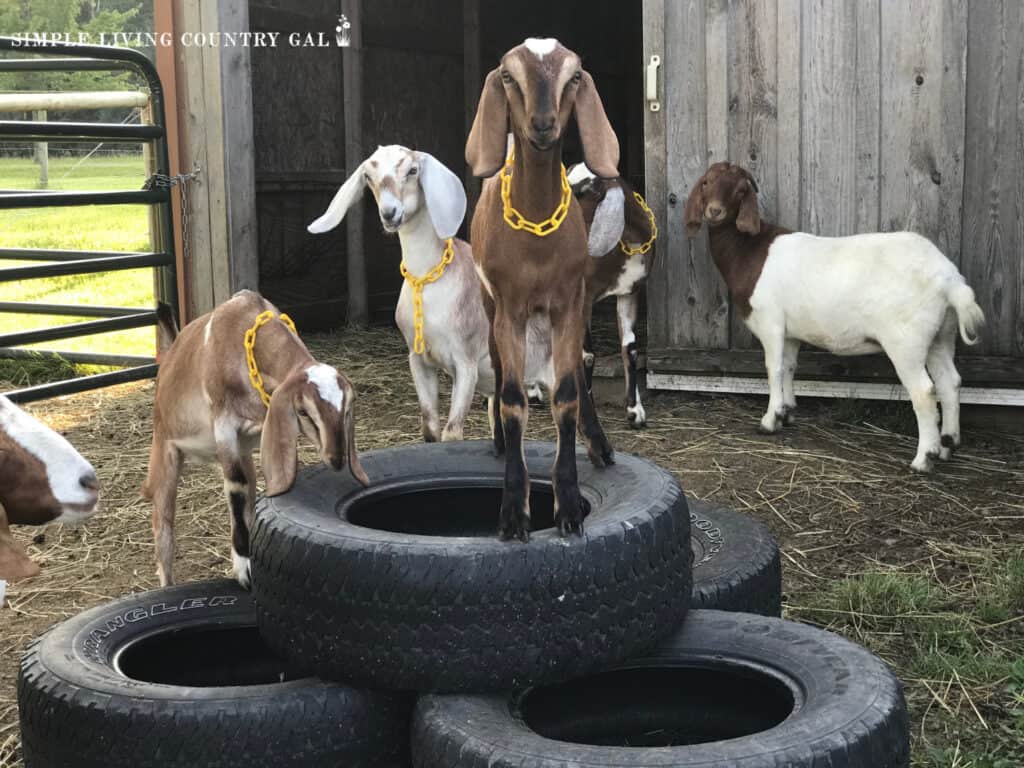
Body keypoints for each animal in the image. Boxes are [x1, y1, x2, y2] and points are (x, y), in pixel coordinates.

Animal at [142, 290, 368, 589]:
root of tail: (169, 357)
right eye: (304, 411)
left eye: (347, 410)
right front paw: (244, 567)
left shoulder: (265, 432)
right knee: (163, 528)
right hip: (165, 454)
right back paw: (168, 583)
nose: (337, 458)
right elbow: (236, 486)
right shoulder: (224, 426)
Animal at [573, 163, 659, 428]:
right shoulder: (584, 296)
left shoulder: (629, 292)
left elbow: (630, 349)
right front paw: (586, 411)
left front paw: (635, 410)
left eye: (587, 190)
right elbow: (587, 355)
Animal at [684, 163, 987, 475]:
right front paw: (787, 413)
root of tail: (950, 281)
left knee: (924, 391)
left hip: (907, 340)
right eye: (706, 182)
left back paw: (923, 458)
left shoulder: (771, 322)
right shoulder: (791, 332)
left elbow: (774, 368)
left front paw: (769, 421)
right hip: (941, 334)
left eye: (741, 190)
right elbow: (790, 367)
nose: (715, 211)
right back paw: (948, 444)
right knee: (950, 382)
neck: (748, 251)